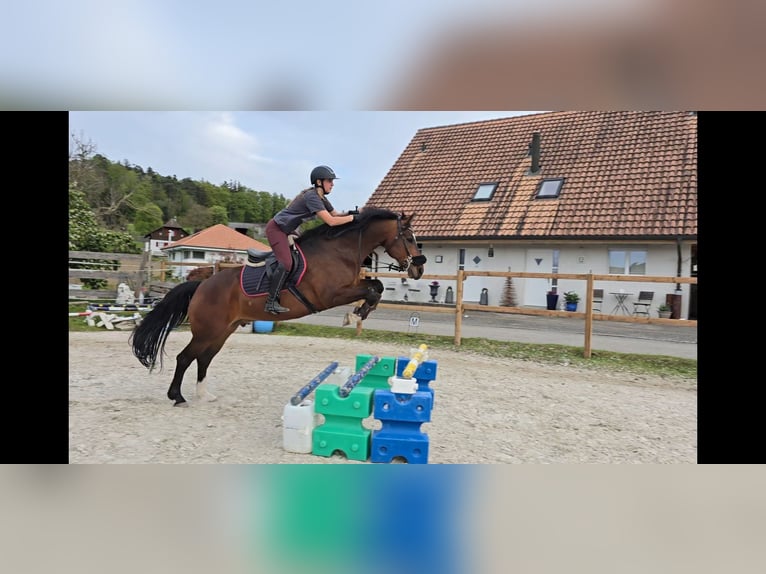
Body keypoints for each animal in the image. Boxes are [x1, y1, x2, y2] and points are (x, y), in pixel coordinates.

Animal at [127, 209, 426, 408]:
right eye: (409, 238)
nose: (419, 269)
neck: (340, 250)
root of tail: (201, 285)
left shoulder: (351, 285)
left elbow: (376, 285)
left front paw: (361, 312)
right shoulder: (331, 295)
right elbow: (372, 288)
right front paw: (357, 313)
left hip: (222, 331)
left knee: (204, 359)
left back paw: (204, 395)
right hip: (207, 331)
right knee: (185, 358)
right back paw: (177, 397)